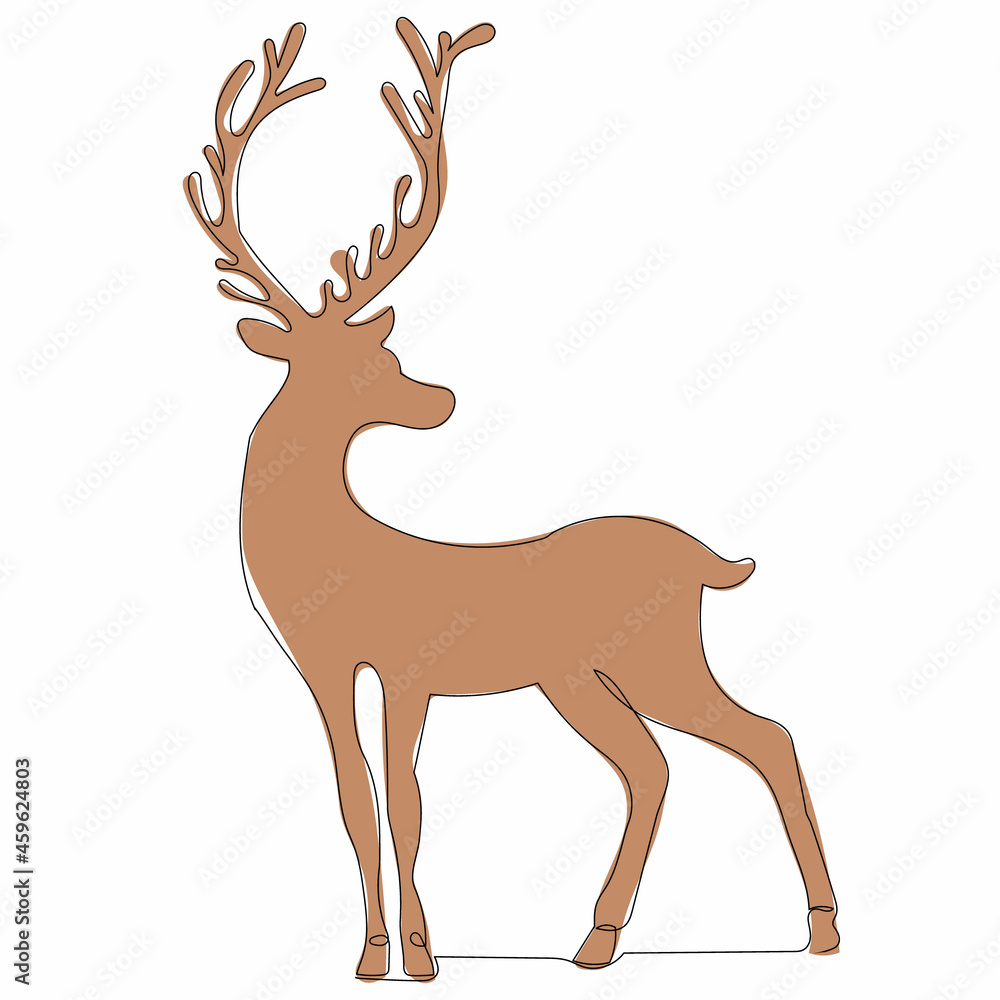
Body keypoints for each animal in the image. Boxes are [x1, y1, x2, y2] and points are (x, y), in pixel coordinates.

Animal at [184, 18, 839, 983]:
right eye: (374, 362)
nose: (440, 400)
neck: (335, 553)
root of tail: (711, 561)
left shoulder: (407, 667)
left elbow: (407, 800)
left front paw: (422, 957)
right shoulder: (323, 668)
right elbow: (353, 800)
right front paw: (370, 958)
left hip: (653, 656)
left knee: (762, 736)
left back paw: (817, 929)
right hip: (584, 676)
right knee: (660, 765)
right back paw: (602, 940)